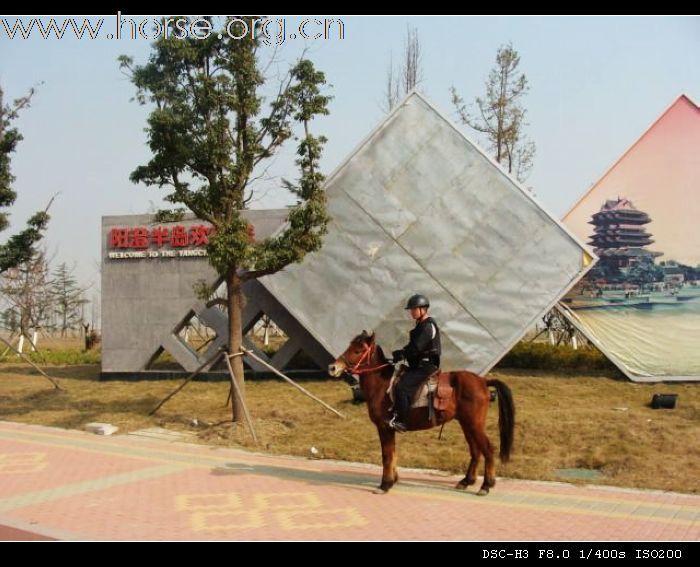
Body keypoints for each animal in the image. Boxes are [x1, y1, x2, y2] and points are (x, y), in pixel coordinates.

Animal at [328, 330, 516, 494]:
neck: (382, 385)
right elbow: (392, 453)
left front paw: (385, 484)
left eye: (358, 350)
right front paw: (393, 479)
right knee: (475, 450)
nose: (333, 367)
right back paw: (467, 481)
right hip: (466, 424)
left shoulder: (384, 427)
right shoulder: (389, 429)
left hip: (474, 424)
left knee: (488, 449)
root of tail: (483, 381)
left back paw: (486, 485)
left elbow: (386, 455)